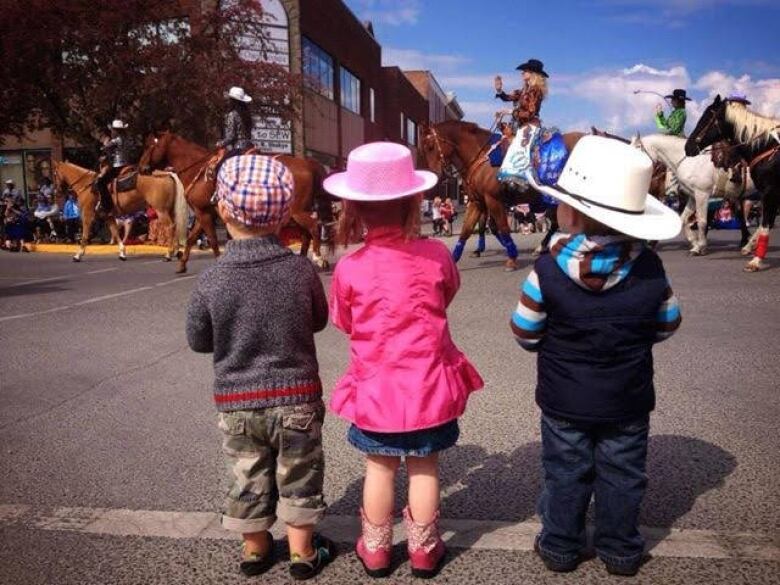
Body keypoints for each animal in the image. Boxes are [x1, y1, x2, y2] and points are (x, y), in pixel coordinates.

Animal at [53, 159, 187, 262]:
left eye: (54, 173)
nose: (57, 192)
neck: (86, 185)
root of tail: (166, 174)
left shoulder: (87, 214)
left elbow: (85, 235)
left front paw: (78, 255)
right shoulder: (108, 216)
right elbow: (116, 232)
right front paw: (122, 253)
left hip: (161, 211)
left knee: (170, 227)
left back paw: (168, 254)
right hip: (169, 210)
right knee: (175, 226)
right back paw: (176, 252)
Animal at [139, 131, 334, 272]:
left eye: (150, 146)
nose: (141, 168)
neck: (198, 170)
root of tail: (307, 163)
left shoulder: (203, 212)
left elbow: (212, 240)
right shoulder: (205, 212)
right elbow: (192, 238)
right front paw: (182, 265)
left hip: (297, 211)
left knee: (313, 227)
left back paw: (318, 258)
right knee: (306, 233)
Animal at [420, 122, 584, 272]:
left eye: (430, 146)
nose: (435, 175)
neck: (483, 159)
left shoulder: (493, 200)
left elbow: (502, 227)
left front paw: (512, 257)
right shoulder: (477, 202)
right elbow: (468, 230)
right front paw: (454, 259)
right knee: (556, 224)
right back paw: (543, 248)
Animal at [688, 94, 780, 272]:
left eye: (707, 118)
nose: (687, 147)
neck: (766, 148)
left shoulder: (769, 192)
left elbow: (765, 224)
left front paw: (755, 261)